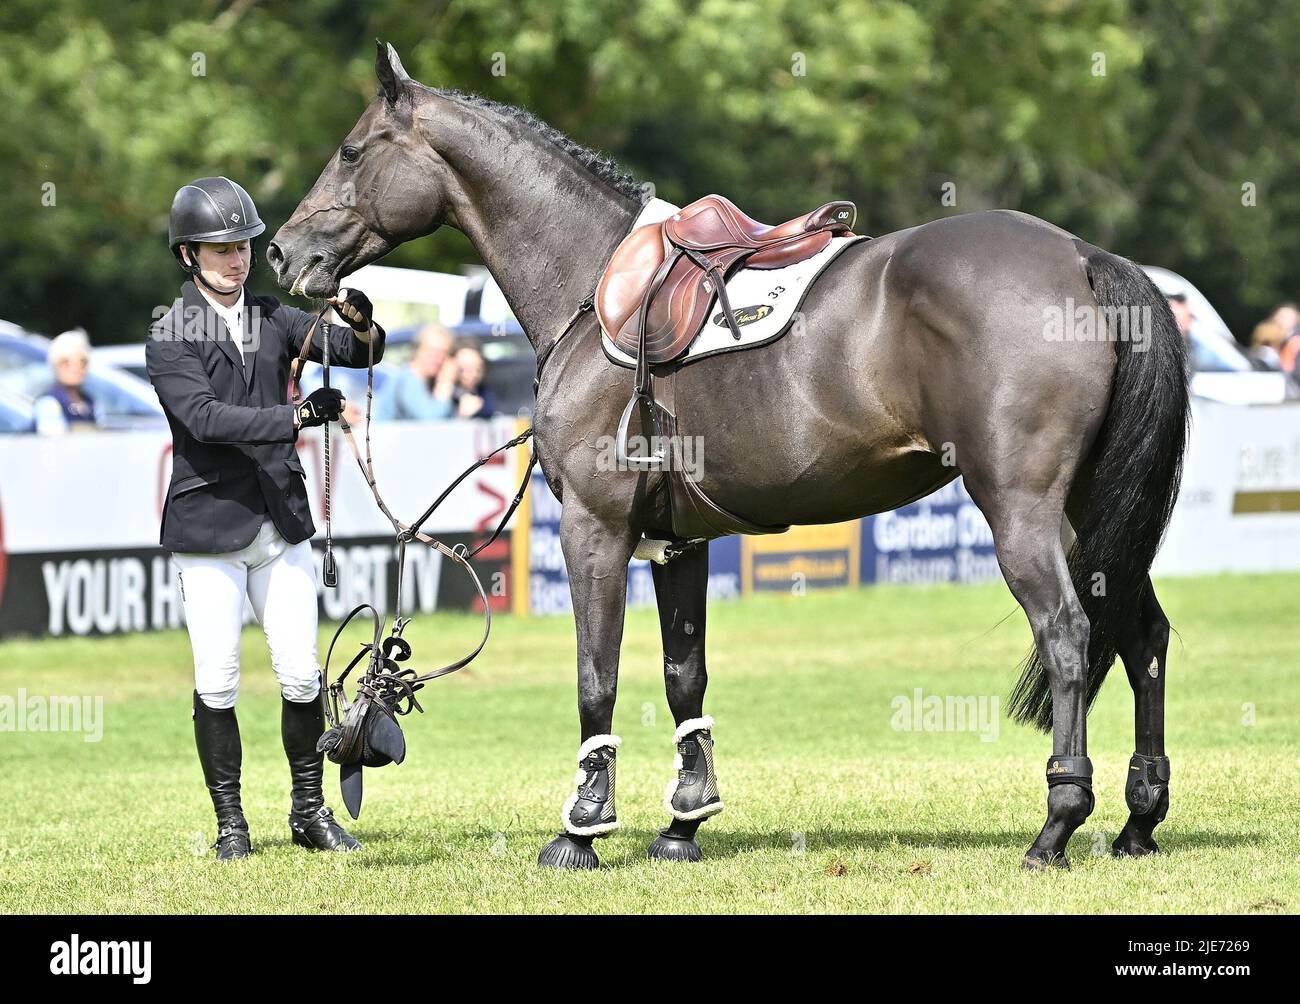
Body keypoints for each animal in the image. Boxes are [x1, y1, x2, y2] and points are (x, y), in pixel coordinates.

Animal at [271, 43, 1190, 868]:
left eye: (352, 150)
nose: (284, 252)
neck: (592, 287)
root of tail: (1083, 257)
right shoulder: (680, 542)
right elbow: (686, 678)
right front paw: (684, 822)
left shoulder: (597, 532)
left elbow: (596, 678)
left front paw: (583, 827)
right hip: (1089, 515)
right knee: (1141, 633)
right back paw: (1138, 820)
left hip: (1022, 510)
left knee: (1069, 633)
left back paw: (1058, 824)